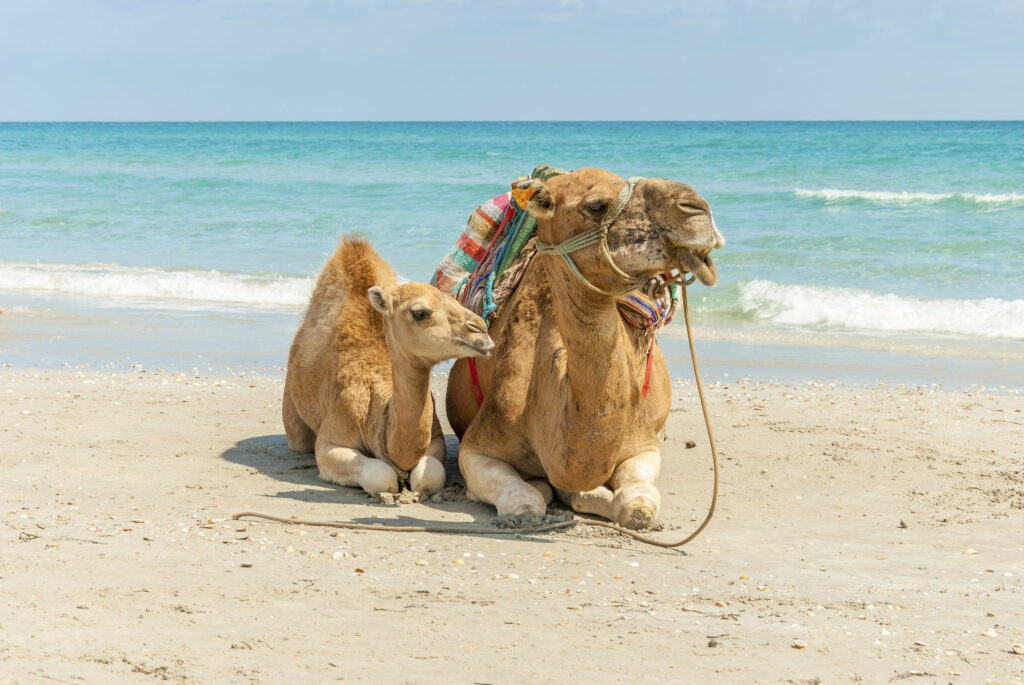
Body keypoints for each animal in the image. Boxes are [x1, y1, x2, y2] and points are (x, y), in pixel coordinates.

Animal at [282, 237, 493, 493]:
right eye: (420, 313)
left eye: (455, 300)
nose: (481, 330)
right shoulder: (330, 440)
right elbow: (381, 475)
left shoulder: (436, 438)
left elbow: (430, 475)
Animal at [444, 169, 724, 528]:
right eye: (596, 205)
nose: (698, 209)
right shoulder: (476, 448)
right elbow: (525, 502)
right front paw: (544, 487)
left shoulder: (643, 446)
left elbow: (636, 504)